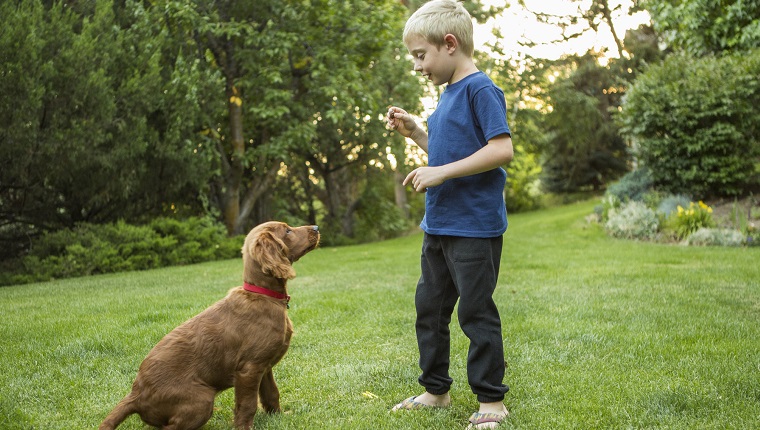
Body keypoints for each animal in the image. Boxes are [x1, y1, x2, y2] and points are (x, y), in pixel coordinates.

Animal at [99, 222, 320, 430]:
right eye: (287, 231)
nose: (316, 227)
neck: (264, 295)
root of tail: (136, 394)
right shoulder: (249, 369)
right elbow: (248, 404)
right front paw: (244, 426)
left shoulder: (264, 366)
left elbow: (272, 393)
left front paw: (280, 417)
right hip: (202, 399)